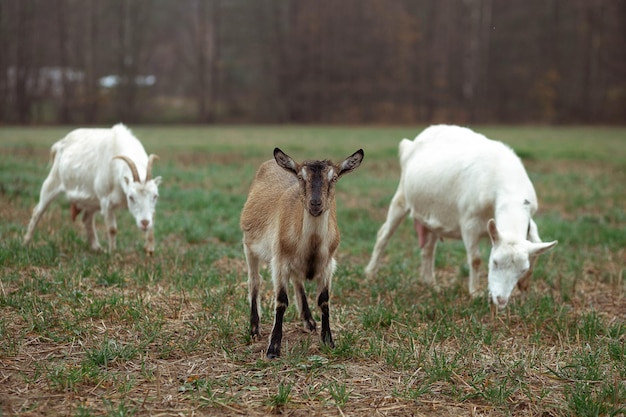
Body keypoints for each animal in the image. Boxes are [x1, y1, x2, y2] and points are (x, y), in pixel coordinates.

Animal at [23, 123, 162, 254]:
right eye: (131, 197)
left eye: (155, 196)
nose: (144, 223)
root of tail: (60, 144)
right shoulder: (106, 201)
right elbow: (112, 229)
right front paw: (112, 252)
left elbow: (153, 217)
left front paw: (149, 249)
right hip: (53, 180)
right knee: (38, 211)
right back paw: (26, 243)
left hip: (92, 199)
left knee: (87, 219)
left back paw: (96, 247)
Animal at [240, 147, 366, 358]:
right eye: (300, 177)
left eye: (334, 178)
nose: (315, 203)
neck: (312, 246)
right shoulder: (280, 261)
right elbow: (281, 301)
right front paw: (273, 348)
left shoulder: (328, 264)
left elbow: (324, 301)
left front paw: (328, 341)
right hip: (249, 246)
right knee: (254, 282)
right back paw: (254, 329)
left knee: (297, 280)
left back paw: (309, 321)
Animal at [364, 125, 560, 308]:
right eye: (495, 262)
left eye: (522, 269)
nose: (501, 300)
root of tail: (411, 143)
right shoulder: (469, 224)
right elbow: (475, 259)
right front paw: (475, 293)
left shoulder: (530, 223)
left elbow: (536, 246)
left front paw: (524, 287)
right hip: (401, 197)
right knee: (384, 235)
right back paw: (370, 274)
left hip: (434, 215)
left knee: (428, 248)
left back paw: (431, 283)